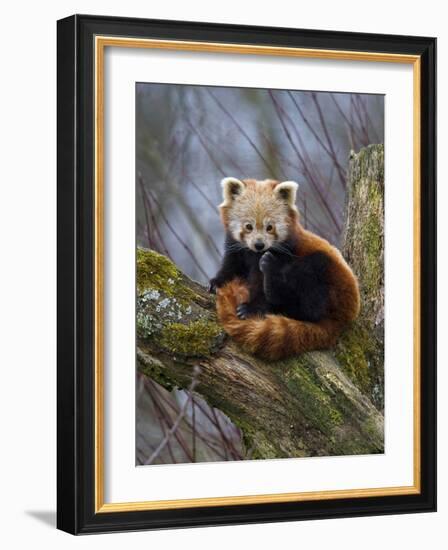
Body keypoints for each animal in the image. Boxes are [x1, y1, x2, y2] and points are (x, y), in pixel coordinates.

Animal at [210, 177, 360, 364]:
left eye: (269, 227)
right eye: (248, 226)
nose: (259, 245)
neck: (254, 254)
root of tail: (344, 317)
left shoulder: (284, 252)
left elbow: (260, 286)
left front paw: (252, 308)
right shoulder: (235, 248)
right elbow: (230, 266)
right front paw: (217, 282)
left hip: (329, 280)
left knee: (310, 299)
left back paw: (272, 281)